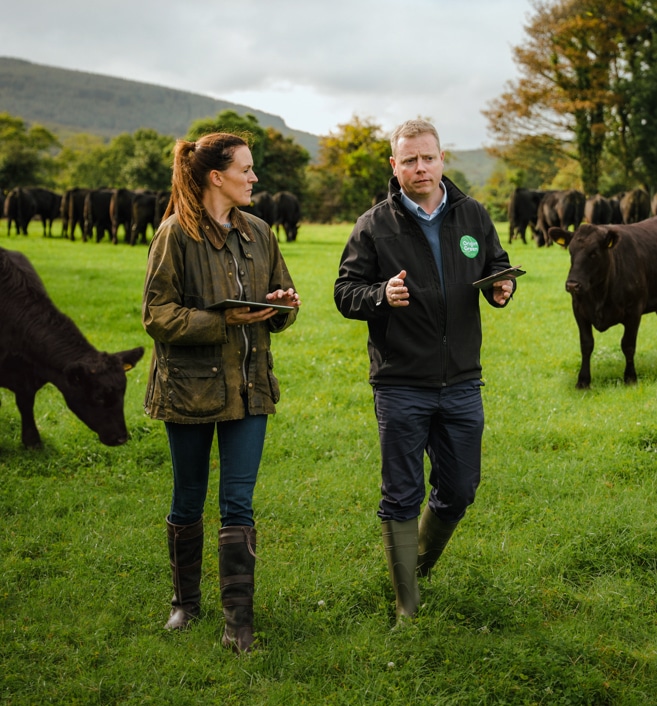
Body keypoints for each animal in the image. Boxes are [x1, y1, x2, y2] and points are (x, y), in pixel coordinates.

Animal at [548, 217, 656, 388]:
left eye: (594, 253)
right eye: (571, 252)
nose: (572, 285)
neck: (600, 294)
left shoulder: (634, 311)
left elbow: (628, 345)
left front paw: (630, 378)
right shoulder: (579, 311)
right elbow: (586, 344)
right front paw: (583, 381)